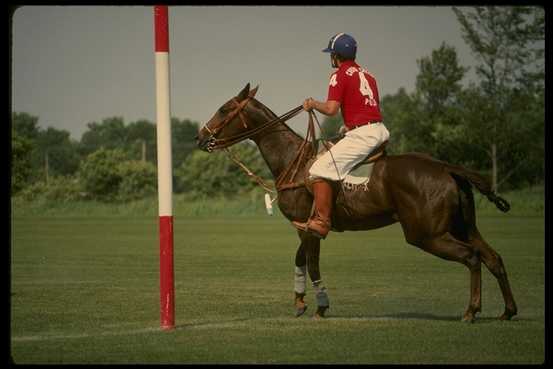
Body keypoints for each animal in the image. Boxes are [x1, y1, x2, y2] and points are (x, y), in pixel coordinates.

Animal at [197, 83, 516, 322]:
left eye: (224, 109)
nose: (201, 138)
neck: (292, 162)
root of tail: (447, 168)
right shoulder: (305, 225)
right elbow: (300, 260)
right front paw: (300, 302)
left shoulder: (309, 225)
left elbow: (311, 263)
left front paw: (321, 306)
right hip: (462, 225)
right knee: (493, 257)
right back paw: (507, 311)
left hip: (425, 233)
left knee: (471, 257)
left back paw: (471, 311)